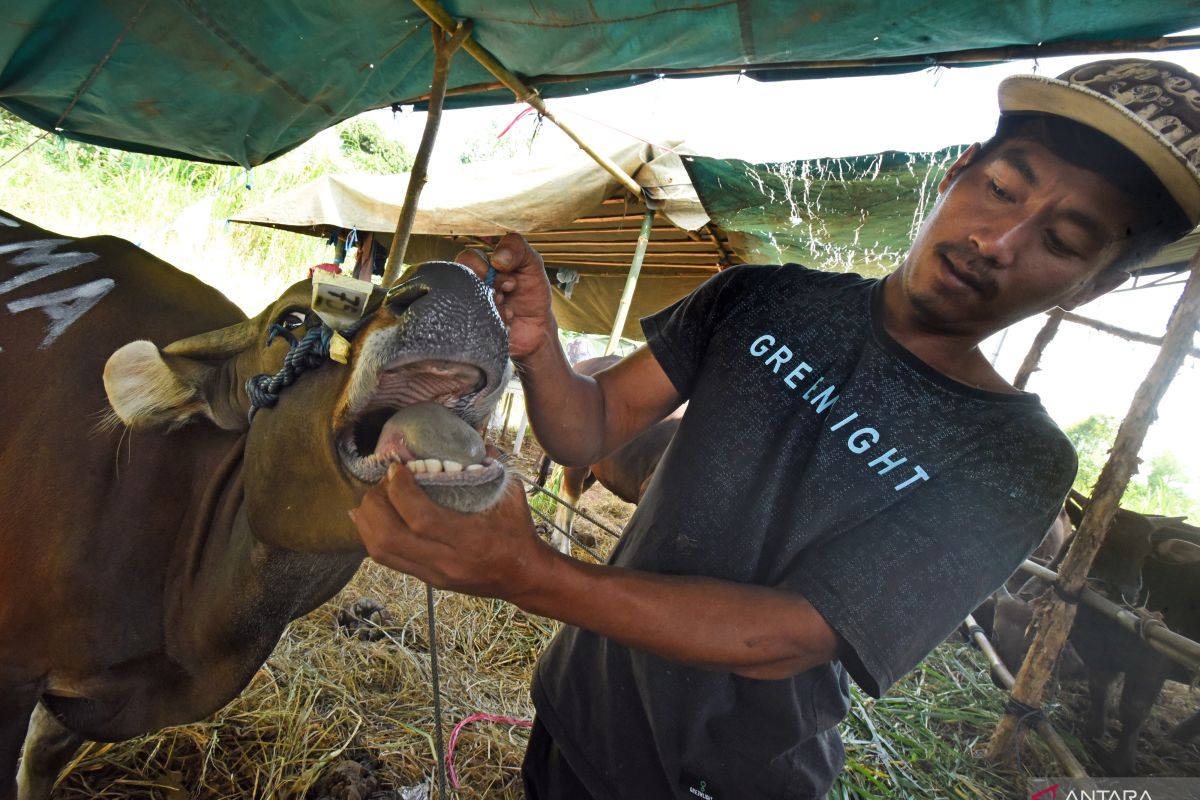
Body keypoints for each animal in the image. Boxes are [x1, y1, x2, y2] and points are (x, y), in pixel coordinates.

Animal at [988, 491, 1200, 777]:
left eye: (1144, 556)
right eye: (1097, 545)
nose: (1128, 592)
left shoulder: (1153, 664)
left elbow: (1133, 710)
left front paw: (1121, 763)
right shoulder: (1101, 656)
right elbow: (1099, 688)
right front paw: (1093, 730)